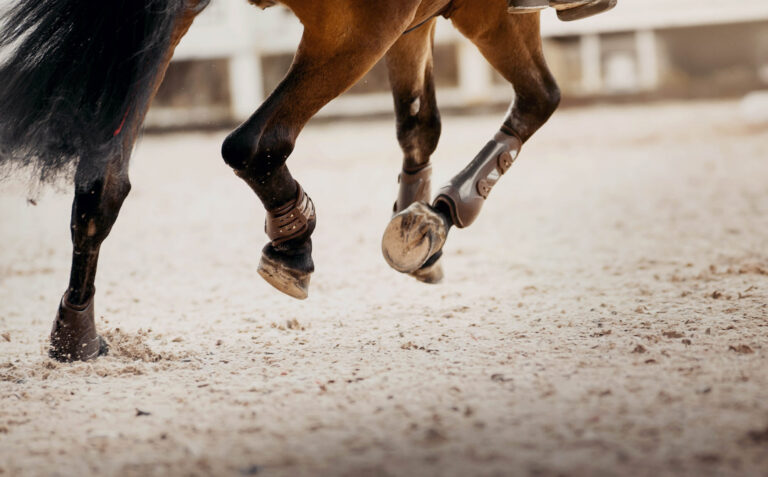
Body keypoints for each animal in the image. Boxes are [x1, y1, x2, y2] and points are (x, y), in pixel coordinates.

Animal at [0, 0, 562, 361]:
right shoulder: (480, 13)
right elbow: (539, 100)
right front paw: (436, 218)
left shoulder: (417, 25)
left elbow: (419, 125)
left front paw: (419, 229)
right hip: (356, 29)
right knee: (254, 142)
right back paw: (294, 244)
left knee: (104, 181)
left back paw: (76, 337)